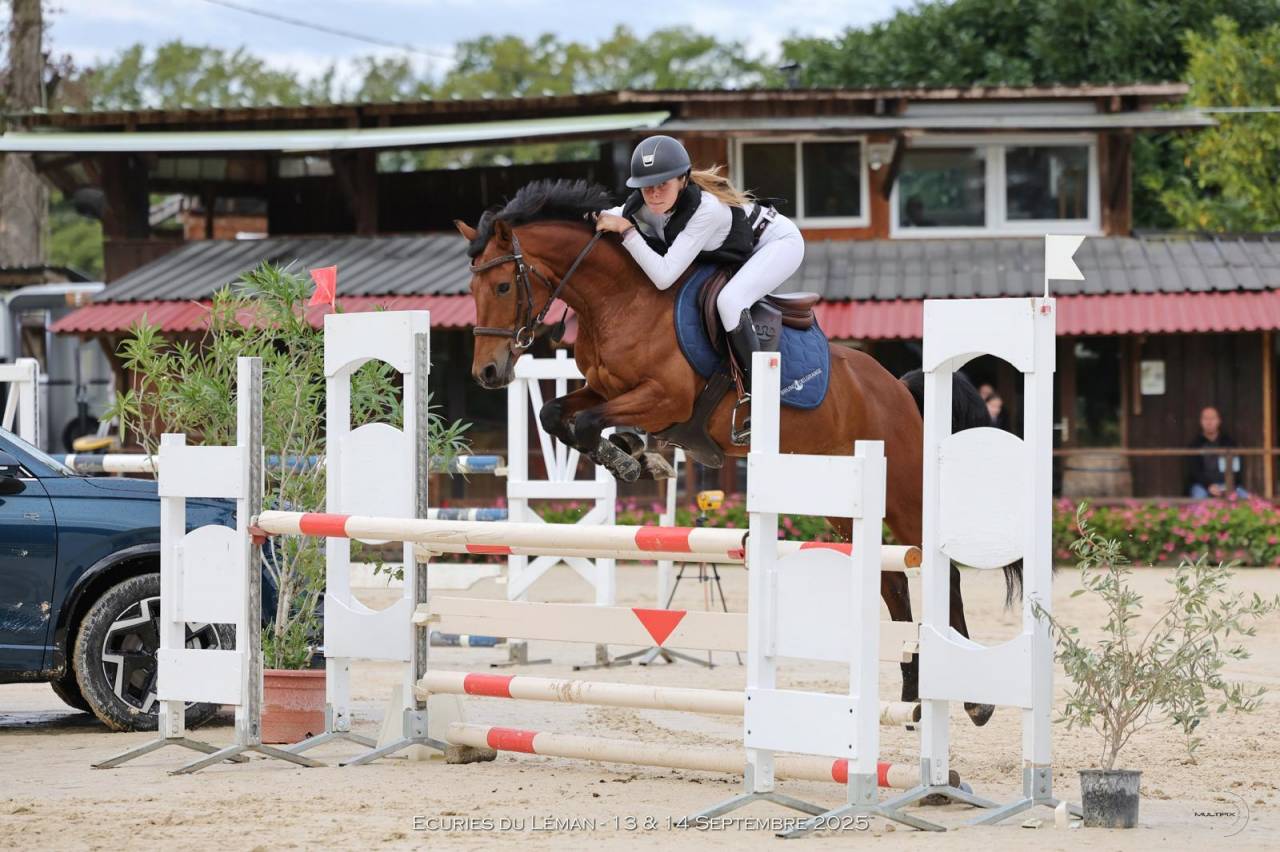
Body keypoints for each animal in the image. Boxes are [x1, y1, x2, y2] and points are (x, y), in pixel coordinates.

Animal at [457, 179, 1017, 726]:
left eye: (503, 286)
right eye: (471, 290)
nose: (487, 373)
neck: (619, 300)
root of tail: (897, 388)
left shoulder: (666, 399)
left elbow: (592, 421)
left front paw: (630, 459)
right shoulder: (602, 389)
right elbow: (557, 414)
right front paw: (636, 452)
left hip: (904, 493)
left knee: (943, 574)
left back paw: (974, 701)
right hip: (840, 502)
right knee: (893, 581)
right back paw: (911, 694)